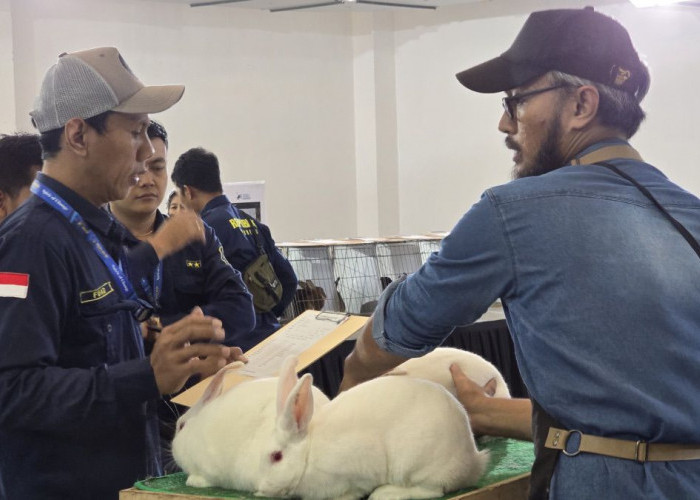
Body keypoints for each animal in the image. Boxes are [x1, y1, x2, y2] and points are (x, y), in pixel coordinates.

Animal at [171, 356, 486, 500]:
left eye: (276, 457)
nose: (261, 489)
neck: (308, 455)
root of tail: (472, 460)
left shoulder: (352, 474)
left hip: (417, 464)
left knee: (432, 490)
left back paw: (386, 493)